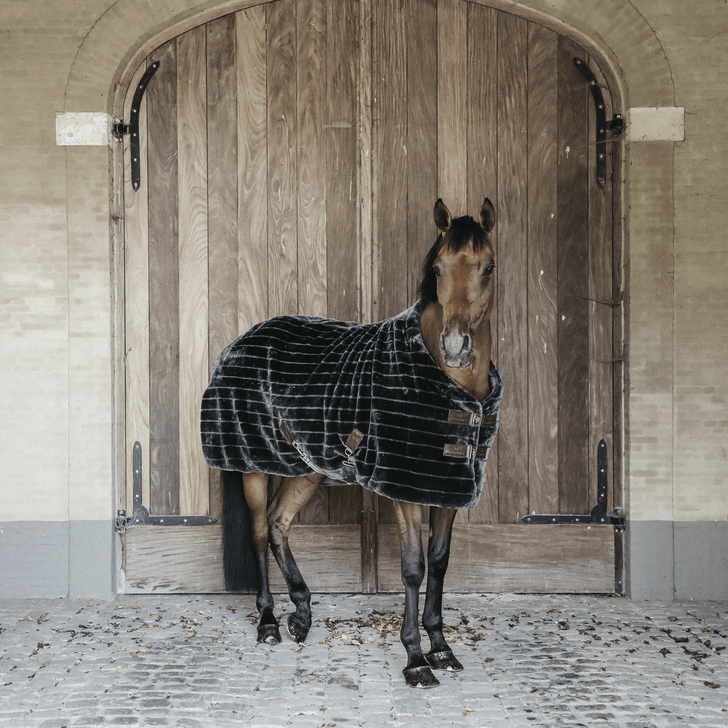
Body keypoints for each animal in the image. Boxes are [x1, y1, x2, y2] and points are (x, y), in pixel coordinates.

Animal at [201, 197, 502, 688]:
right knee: (261, 531)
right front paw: (415, 659)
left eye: (488, 267)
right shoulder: (404, 491)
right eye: (437, 268)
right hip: (252, 465)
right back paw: (268, 621)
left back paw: (302, 613)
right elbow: (413, 567)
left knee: (280, 525)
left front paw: (441, 647)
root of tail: (239, 342)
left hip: (306, 468)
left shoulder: (446, 487)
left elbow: (439, 562)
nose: (456, 346)